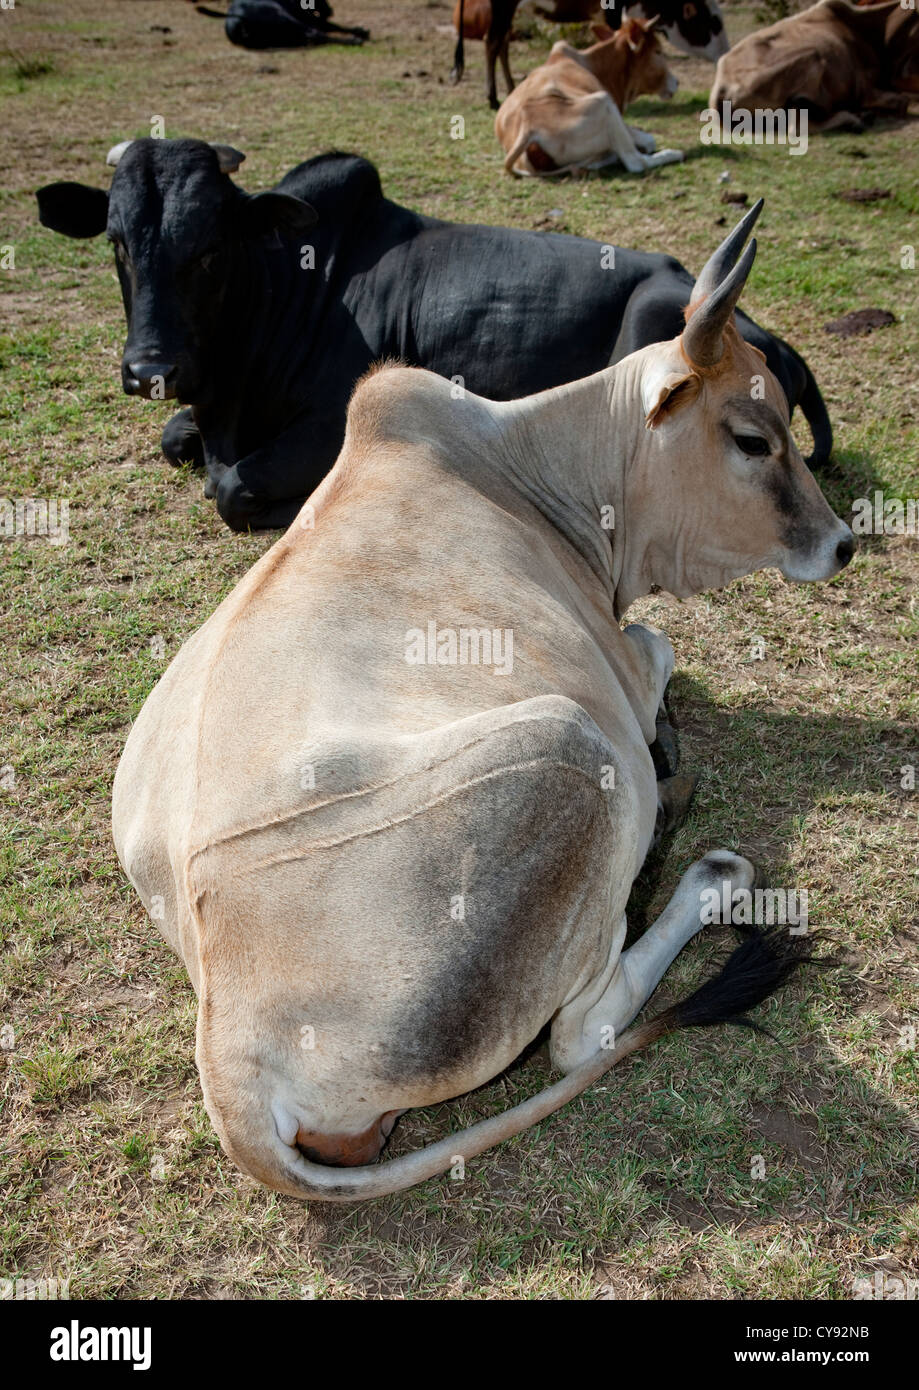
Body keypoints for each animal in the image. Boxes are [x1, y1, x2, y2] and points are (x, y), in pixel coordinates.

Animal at [35, 141, 828, 530]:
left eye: (208, 250)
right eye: (117, 243)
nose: (150, 368)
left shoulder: (328, 423)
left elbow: (229, 487)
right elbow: (178, 442)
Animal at [112, 202, 850, 1195]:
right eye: (750, 438)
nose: (842, 541)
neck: (532, 468)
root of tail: (231, 1058)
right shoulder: (616, 674)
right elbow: (658, 647)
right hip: (570, 744)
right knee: (581, 1034)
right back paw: (705, 870)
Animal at [196, 0, 367, 48]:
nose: (330, 10)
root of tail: (235, 17)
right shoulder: (312, 19)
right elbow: (333, 25)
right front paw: (360, 31)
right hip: (287, 18)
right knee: (315, 34)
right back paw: (354, 41)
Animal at [494, 17, 681, 175]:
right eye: (658, 51)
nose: (677, 82)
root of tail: (528, 130)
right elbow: (649, 139)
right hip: (603, 102)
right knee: (635, 162)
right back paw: (671, 154)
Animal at [709, 0, 917, 134]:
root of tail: (722, 90)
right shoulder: (863, 88)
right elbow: (902, 101)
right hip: (813, 56)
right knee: (797, 126)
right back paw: (856, 120)